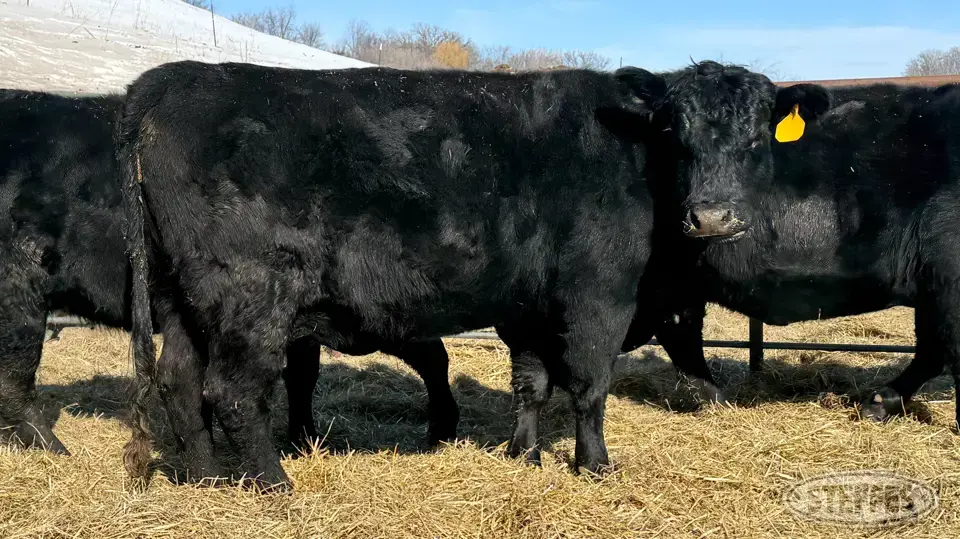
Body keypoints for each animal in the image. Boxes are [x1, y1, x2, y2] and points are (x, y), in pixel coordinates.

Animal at [0, 89, 457, 466]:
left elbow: (303, 375)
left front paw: (305, 440)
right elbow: (430, 354)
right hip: (19, 293)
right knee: (15, 376)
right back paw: (57, 451)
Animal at [116, 60, 679, 492]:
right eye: (678, 129)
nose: (704, 215)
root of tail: (168, 78)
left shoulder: (529, 309)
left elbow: (533, 381)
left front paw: (525, 455)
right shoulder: (603, 294)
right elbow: (590, 383)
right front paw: (596, 466)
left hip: (179, 295)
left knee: (180, 380)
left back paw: (206, 479)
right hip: (252, 294)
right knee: (233, 390)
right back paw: (274, 484)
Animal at [620, 60, 960, 428]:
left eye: (756, 138)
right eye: (674, 136)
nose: (710, 218)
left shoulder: (935, 283)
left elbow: (933, 350)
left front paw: (881, 402)